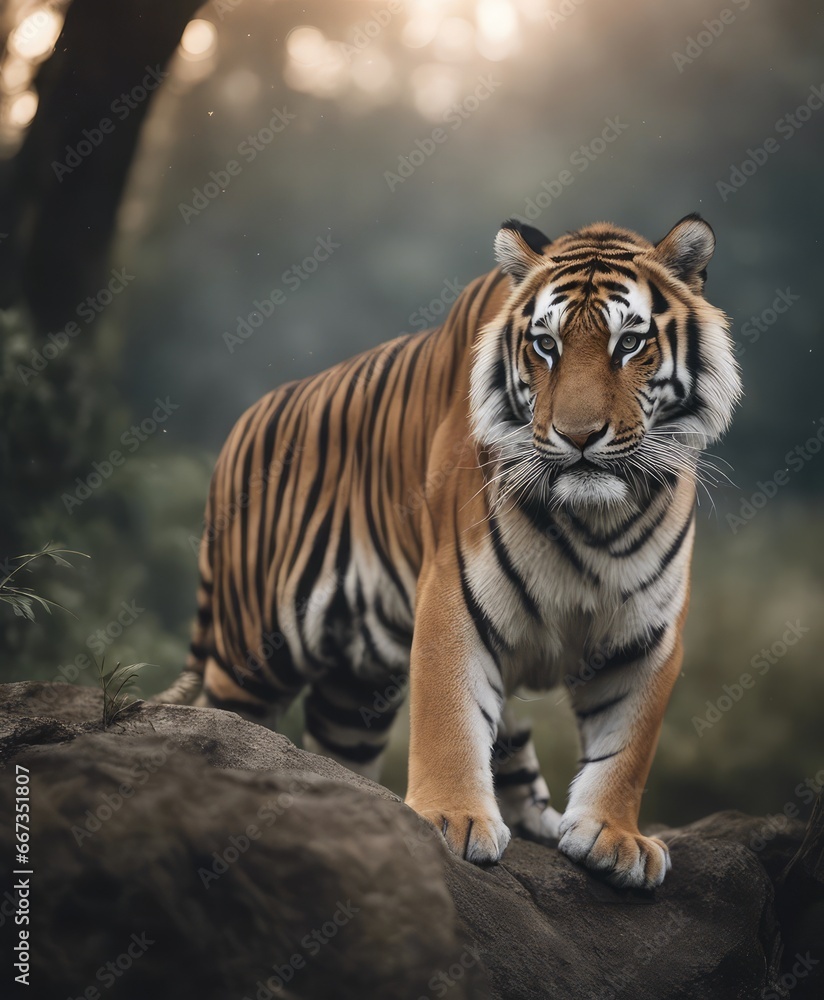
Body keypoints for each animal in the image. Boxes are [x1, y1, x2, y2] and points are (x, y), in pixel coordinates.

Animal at [156, 213, 741, 888]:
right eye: (546, 346)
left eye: (629, 344)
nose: (577, 436)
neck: (594, 519)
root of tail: (237, 429)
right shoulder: (455, 598)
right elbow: (450, 716)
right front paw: (451, 820)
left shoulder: (648, 633)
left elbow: (628, 744)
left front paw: (613, 836)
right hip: (256, 647)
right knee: (225, 717)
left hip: (355, 696)